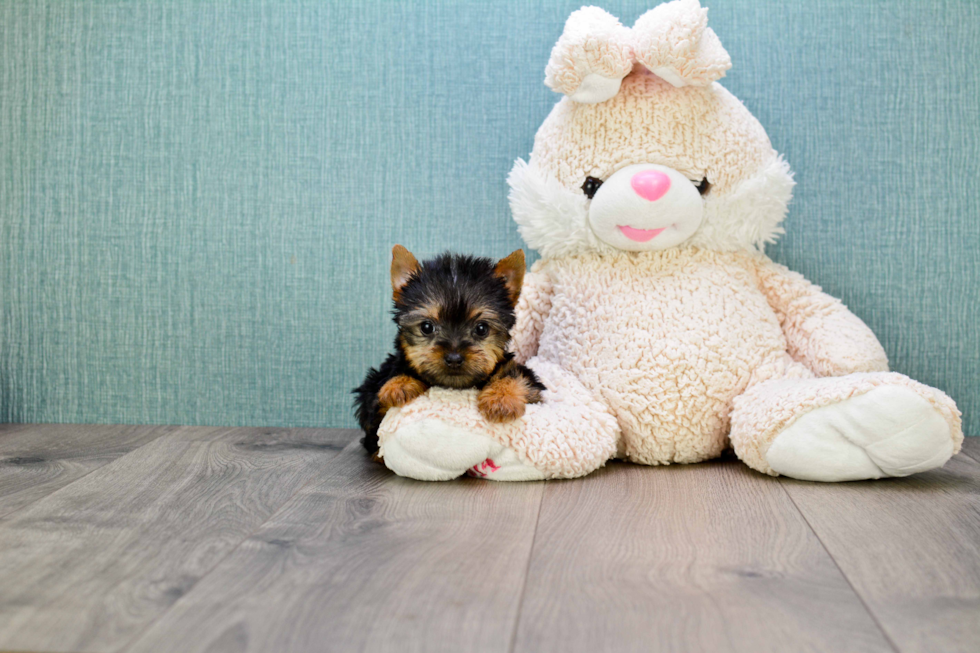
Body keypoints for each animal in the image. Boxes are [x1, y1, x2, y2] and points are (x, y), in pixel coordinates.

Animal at [352, 246, 548, 458]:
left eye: (481, 329)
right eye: (427, 327)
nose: (454, 358)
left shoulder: (528, 382)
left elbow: (515, 375)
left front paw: (501, 399)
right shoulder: (372, 401)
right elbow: (379, 415)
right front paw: (399, 384)